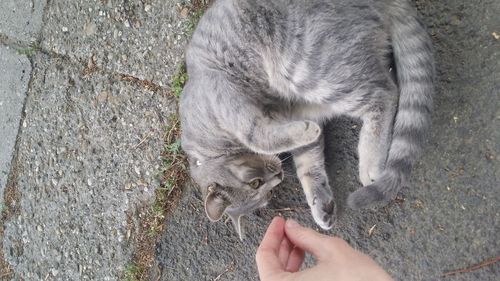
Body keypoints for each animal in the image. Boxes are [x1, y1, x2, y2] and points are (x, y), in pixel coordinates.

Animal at [179, 0, 434, 238]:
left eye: (256, 184)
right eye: (265, 192)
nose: (279, 175)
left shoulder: (229, 100)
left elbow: (257, 135)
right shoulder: (294, 117)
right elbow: (308, 165)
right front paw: (320, 203)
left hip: (307, 68)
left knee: (385, 93)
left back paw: (370, 161)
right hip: (316, 93)